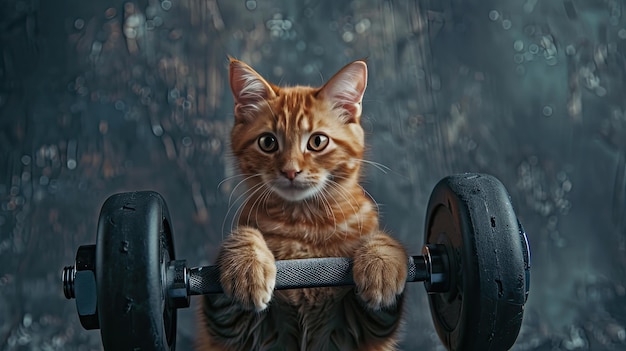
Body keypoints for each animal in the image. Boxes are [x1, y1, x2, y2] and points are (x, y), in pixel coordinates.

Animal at [196, 58, 410, 351]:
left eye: (317, 141)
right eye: (268, 142)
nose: (290, 171)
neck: (305, 223)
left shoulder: (361, 328)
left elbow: (380, 238)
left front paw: (381, 264)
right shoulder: (235, 328)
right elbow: (243, 234)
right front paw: (248, 266)